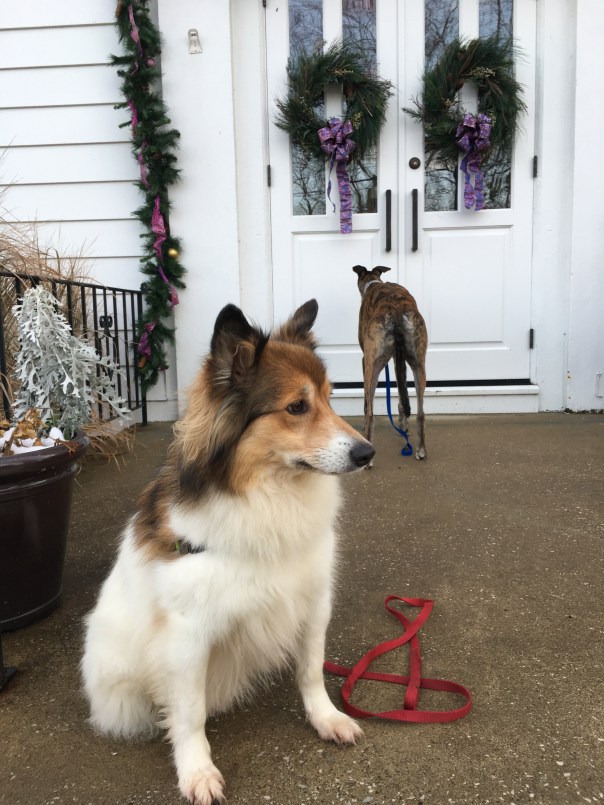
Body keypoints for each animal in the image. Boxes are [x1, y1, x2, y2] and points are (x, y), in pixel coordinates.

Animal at [82, 299, 374, 805]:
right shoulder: (188, 635)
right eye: (297, 407)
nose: (367, 453)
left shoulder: (313, 603)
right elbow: (189, 713)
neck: (268, 495)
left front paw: (326, 719)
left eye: (330, 398)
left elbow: (311, 671)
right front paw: (196, 770)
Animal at [352, 265, 428, 460]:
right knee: (421, 412)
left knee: (370, 413)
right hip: (418, 362)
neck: (373, 282)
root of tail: (396, 312)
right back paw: (421, 449)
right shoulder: (397, 358)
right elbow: (402, 393)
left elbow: (366, 405)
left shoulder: (365, 360)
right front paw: (403, 423)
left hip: (372, 365)